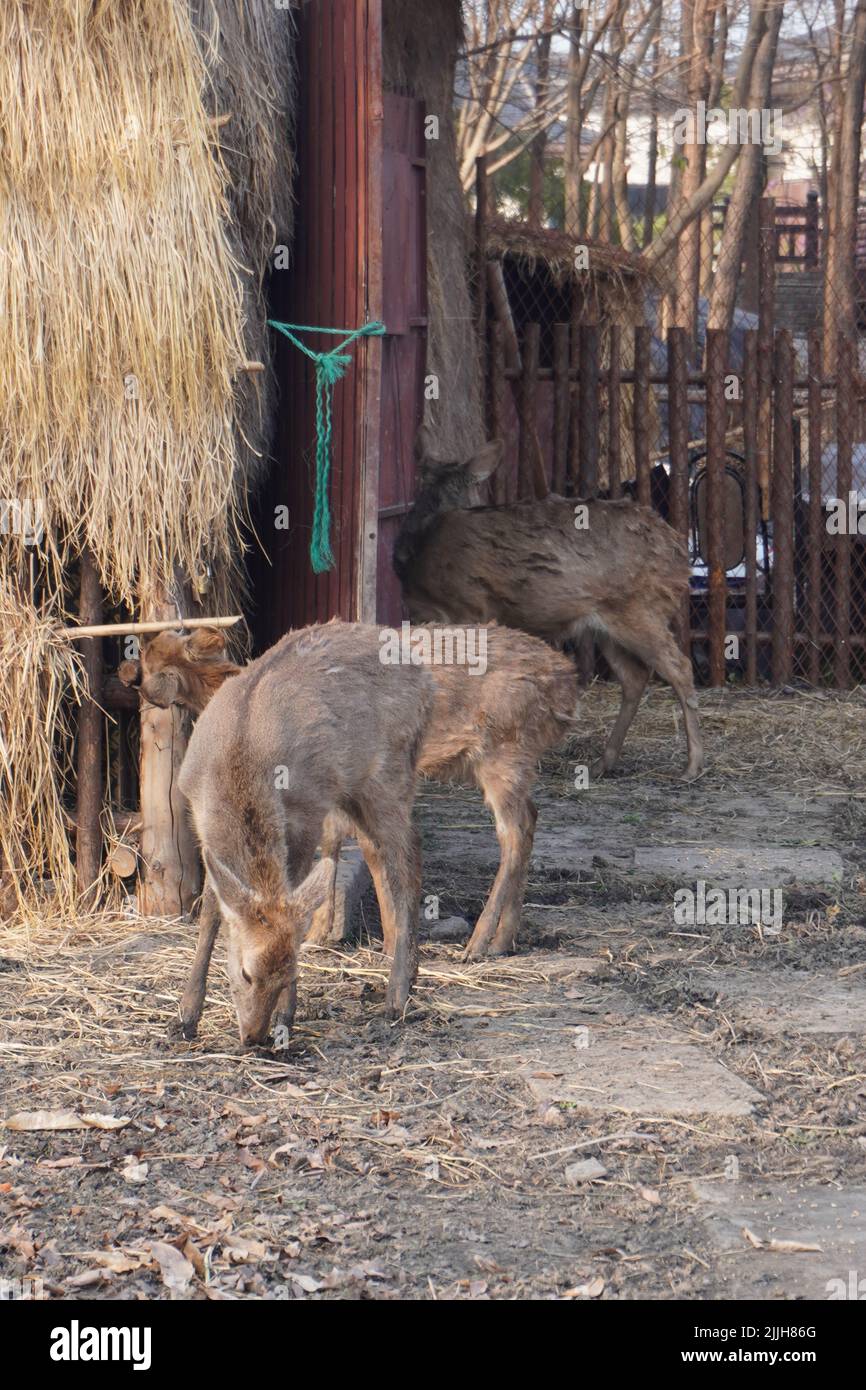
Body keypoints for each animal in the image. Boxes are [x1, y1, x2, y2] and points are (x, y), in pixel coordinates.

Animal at [120, 619, 577, 1043]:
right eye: (247, 974)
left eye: (152, 660)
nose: (254, 1037)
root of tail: (567, 680)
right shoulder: (206, 823)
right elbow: (215, 911)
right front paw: (184, 1018)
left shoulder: (310, 810)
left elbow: (315, 875)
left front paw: (294, 999)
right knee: (519, 822)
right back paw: (493, 942)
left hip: (457, 759)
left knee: (434, 849)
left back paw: (425, 977)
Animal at [393, 428, 704, 781]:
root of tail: (679, 553)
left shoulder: (469, 608)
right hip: (607, 623)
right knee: (635, 677)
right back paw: (604, 762)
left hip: (639, 607)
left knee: (679, 667)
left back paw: (692, 764)